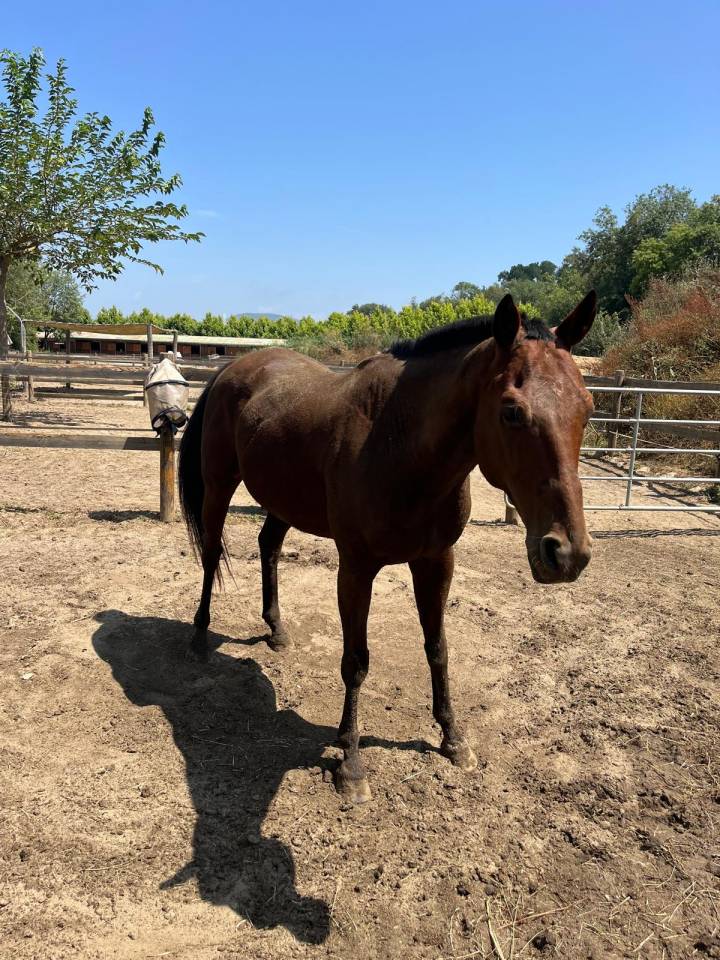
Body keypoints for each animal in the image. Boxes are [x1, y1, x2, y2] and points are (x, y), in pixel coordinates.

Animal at [178, 292, 596, 803]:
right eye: (512, 411)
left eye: (587, 407)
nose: (567, 553)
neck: (398, 443)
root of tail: (230, 370)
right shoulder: (356, 568)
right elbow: (356, 661)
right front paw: (351, 762)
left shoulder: (435, 562)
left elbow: (437, 647)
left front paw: (452, 738)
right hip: (219, 487)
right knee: (211, 554)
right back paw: (199, 637)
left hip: (282, 501)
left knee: (268, 547)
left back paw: (276, 629)